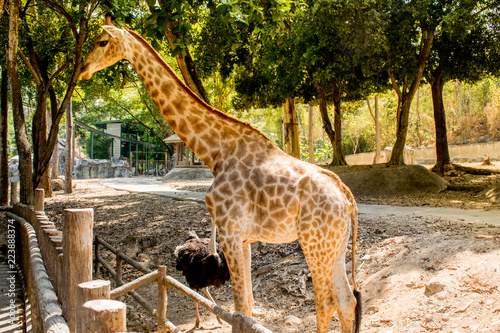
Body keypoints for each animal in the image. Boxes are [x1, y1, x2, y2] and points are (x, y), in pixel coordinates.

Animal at [77, 16, 360, 332]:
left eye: (102, 41)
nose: (82, 70)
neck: (216, 152)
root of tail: (347, 197)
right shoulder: (245, 239)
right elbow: (248, 305)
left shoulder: (230, 231)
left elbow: (241, 307)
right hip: (335, 243)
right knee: (346, 301)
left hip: (314, 242)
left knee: (325, 304)